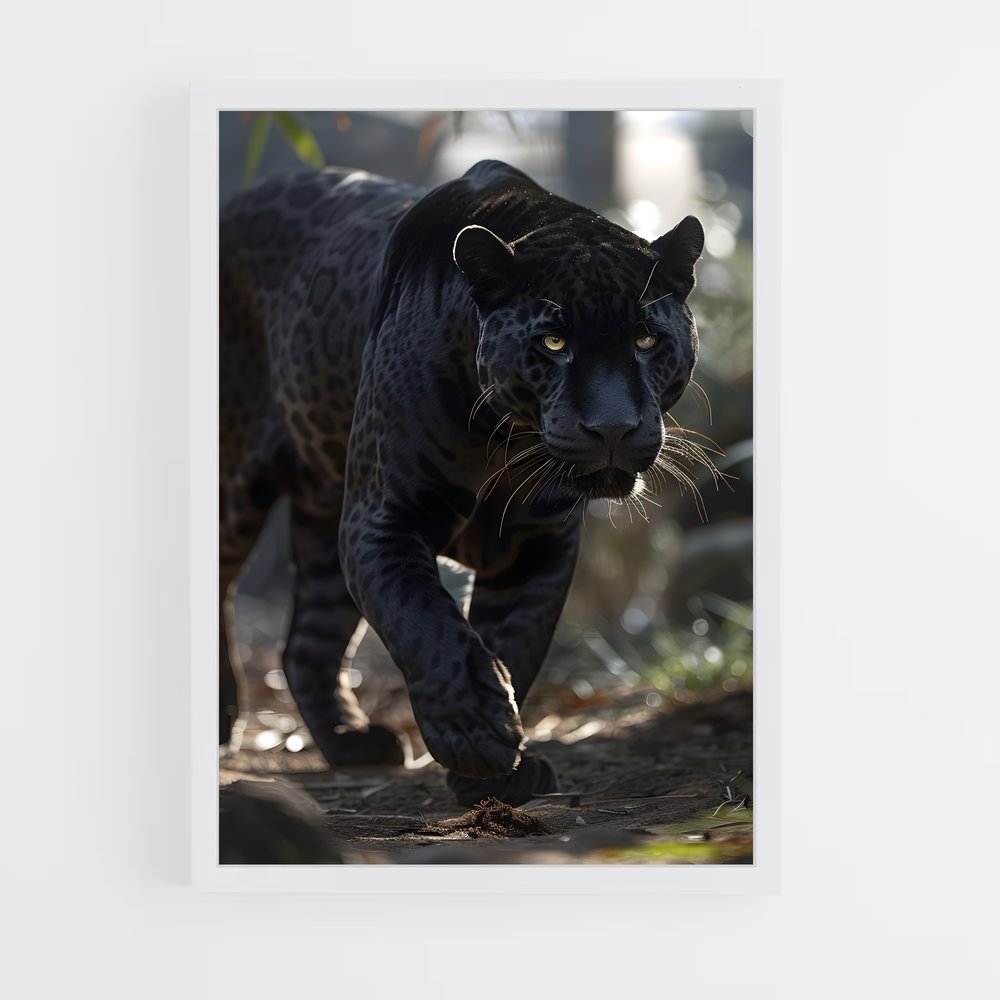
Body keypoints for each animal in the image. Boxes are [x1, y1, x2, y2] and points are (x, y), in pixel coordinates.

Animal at [219, 158, 704, 806]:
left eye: (646, 339)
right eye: (554, 342)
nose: (612, 427)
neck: (503, 443)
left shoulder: (537, 544)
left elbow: (514, 639)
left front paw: (499, 770)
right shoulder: (384, 518)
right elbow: (424, 620)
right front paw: (474, 733)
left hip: (324, 521)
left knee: (306, 644)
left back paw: (352, 743)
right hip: (234, 486)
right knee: (220, 588)